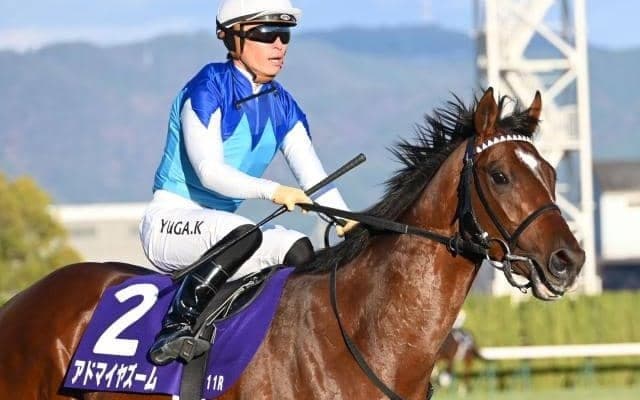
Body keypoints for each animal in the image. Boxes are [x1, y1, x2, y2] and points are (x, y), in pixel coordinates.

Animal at [0, 88, 585, 399]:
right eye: (500, 174)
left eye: (553, 172)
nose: (568, 260)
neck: (363, 330)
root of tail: (19, 302)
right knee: (244, 232)